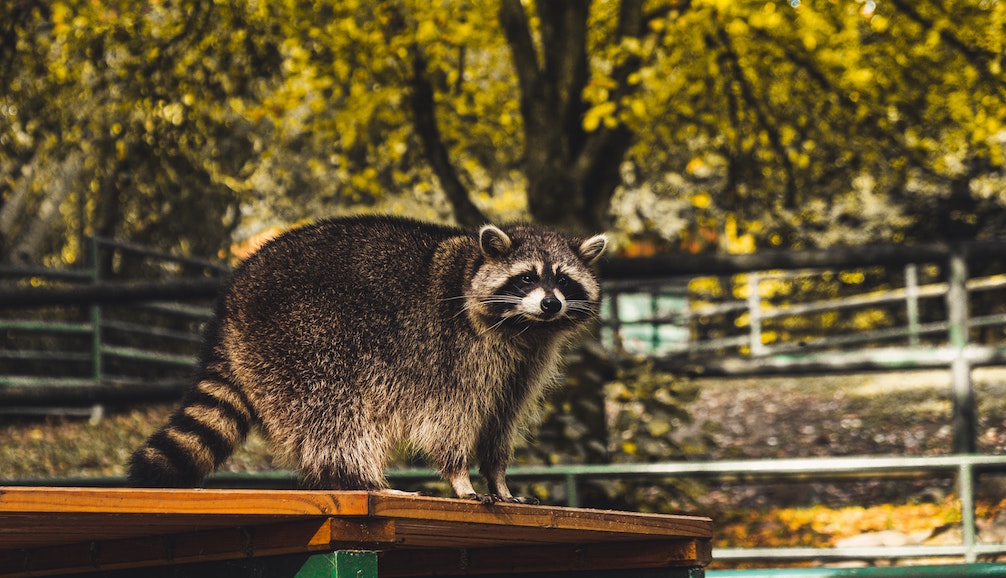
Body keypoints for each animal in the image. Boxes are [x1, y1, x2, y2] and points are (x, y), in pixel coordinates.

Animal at [129, 216, 607, 502]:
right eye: (526, 278)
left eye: (564, 280)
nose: (550, 303)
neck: (525, 328)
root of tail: (232, 298)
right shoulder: (455, 354)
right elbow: (449, 421)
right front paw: (460, 476)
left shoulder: (522, 368)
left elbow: (500, 423)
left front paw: (499, 478)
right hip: (301, 340)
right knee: (334, 416)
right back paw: (362, 480)